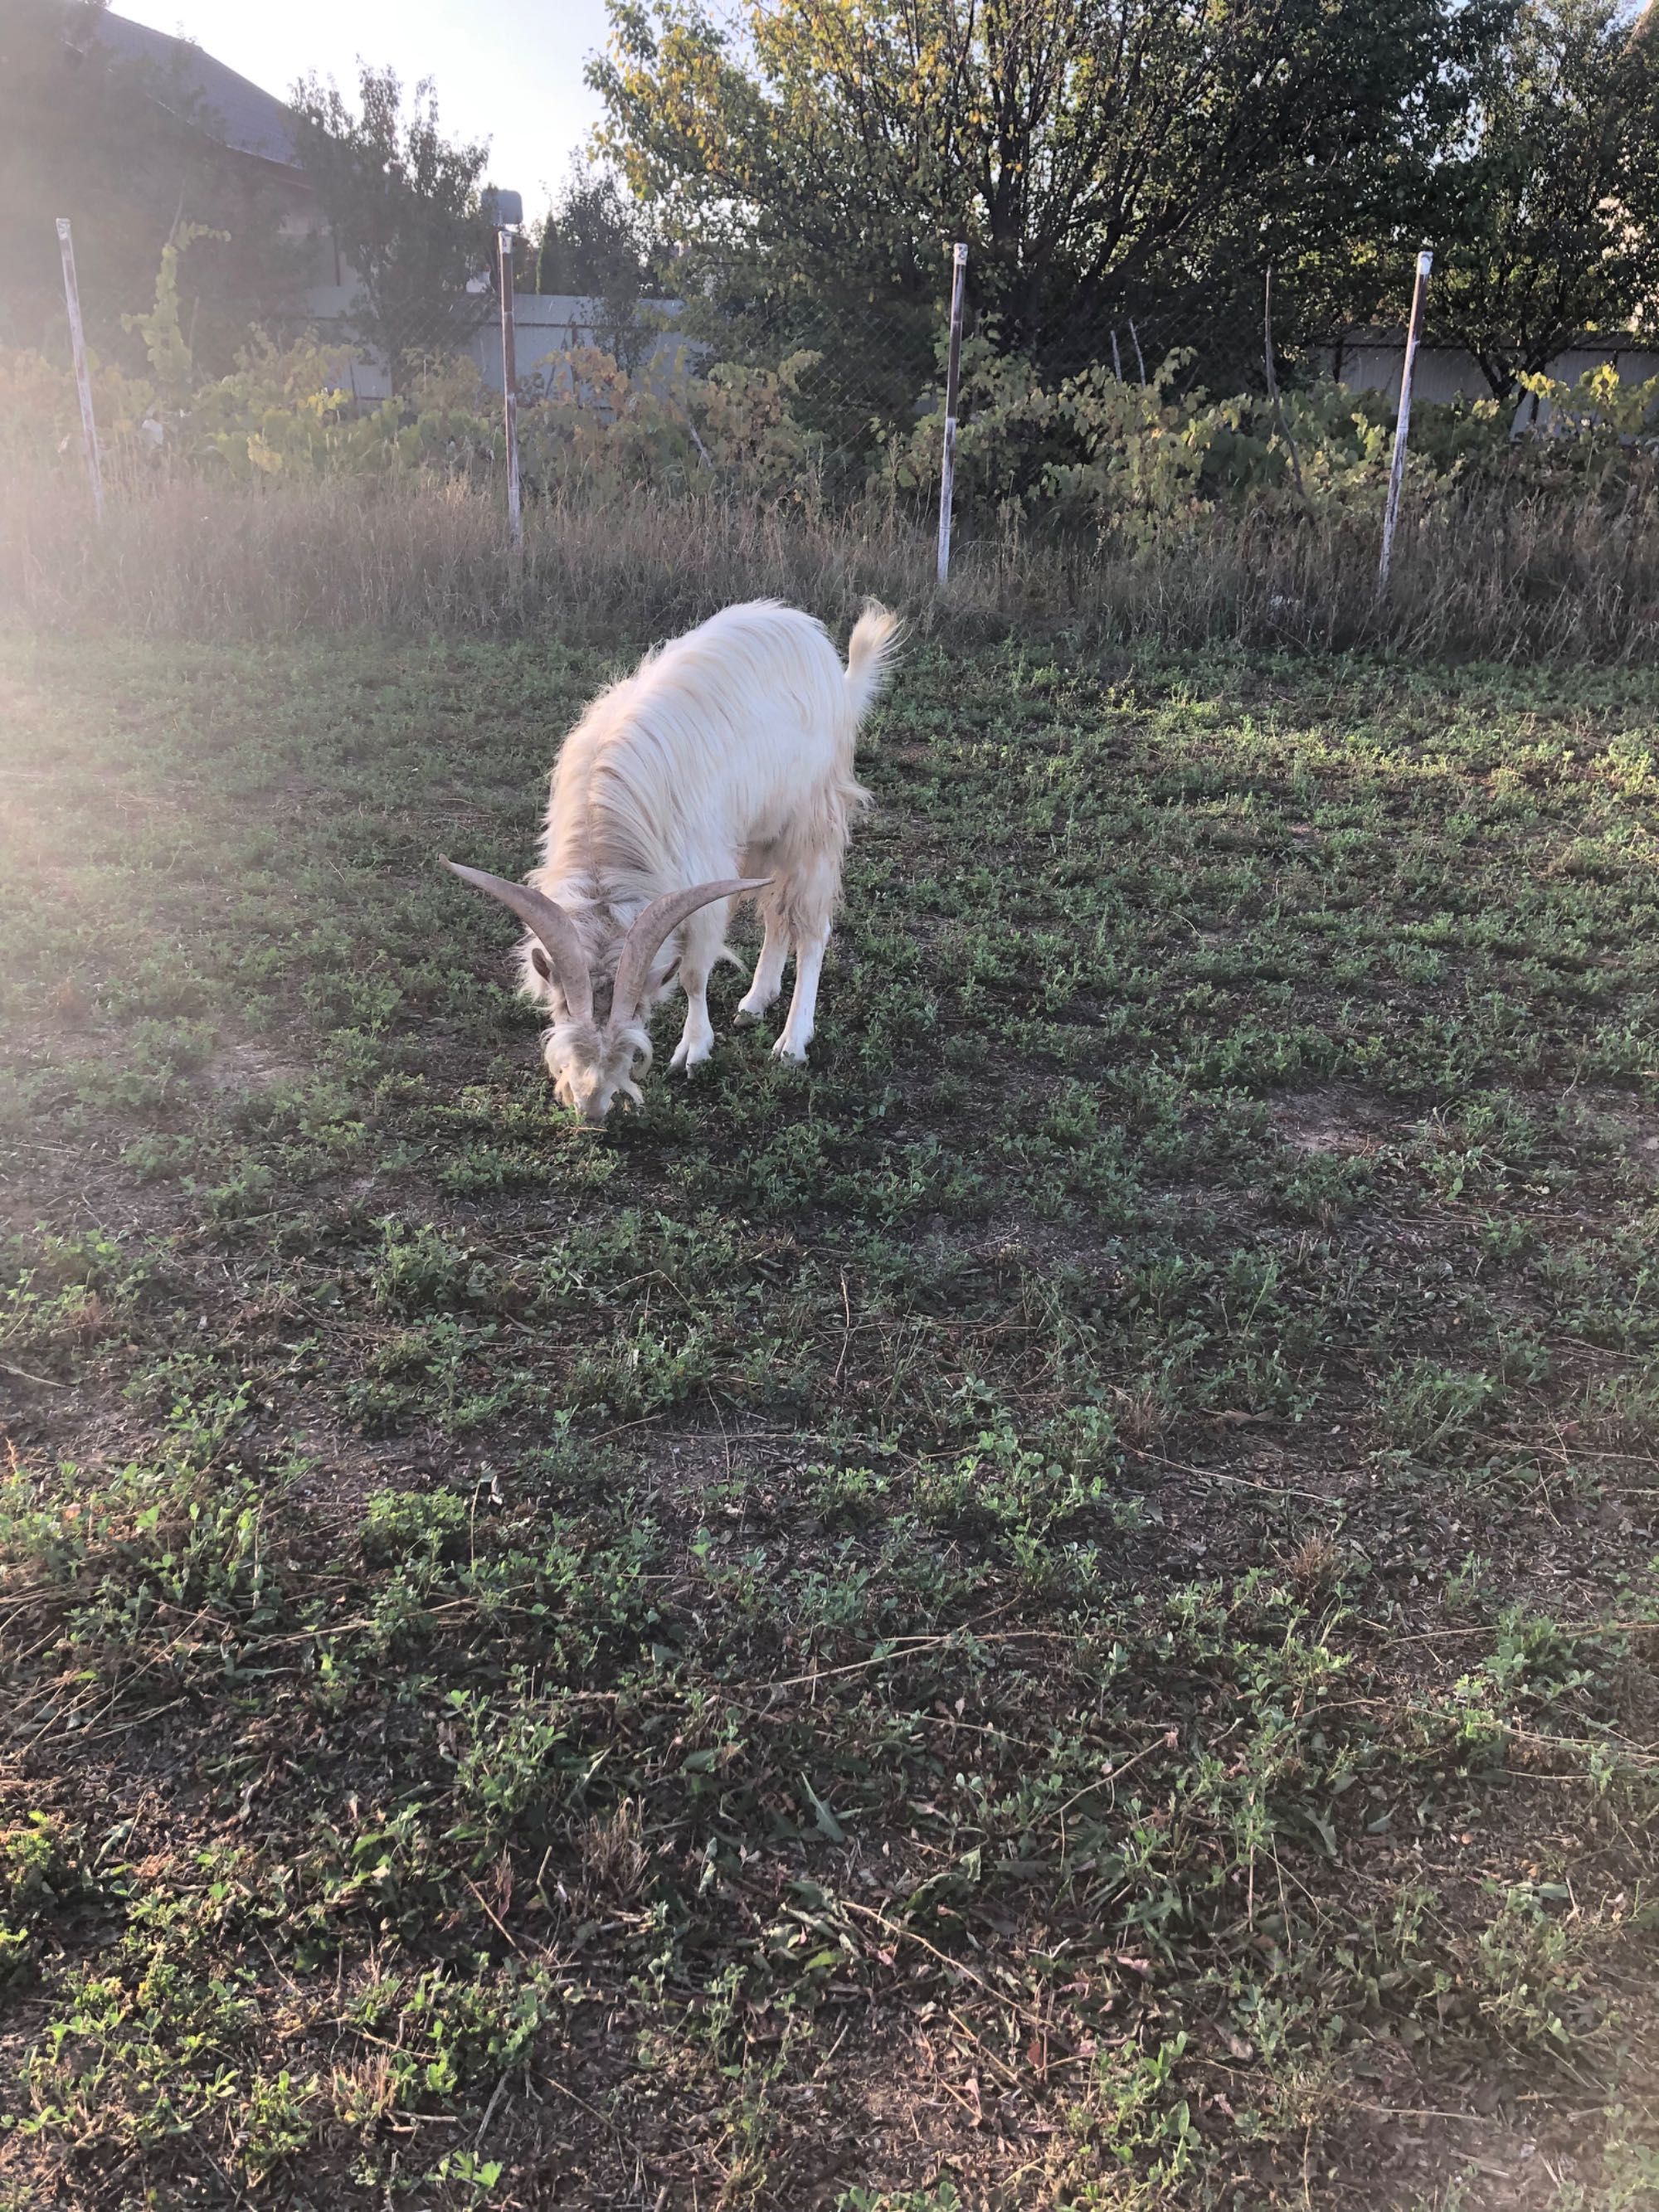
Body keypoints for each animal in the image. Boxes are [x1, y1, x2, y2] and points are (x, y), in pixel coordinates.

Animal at [449, 597, 902, 1123]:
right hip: (760, 832)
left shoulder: (701, 879)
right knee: (775, 914)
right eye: (562, 1011)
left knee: (811, 927)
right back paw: (755, 1000)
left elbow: (692, 973)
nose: (591, 1107)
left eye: (637, 1026)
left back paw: (792, 1042)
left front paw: (694, 1051)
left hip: (810, 823)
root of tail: (828, 660)